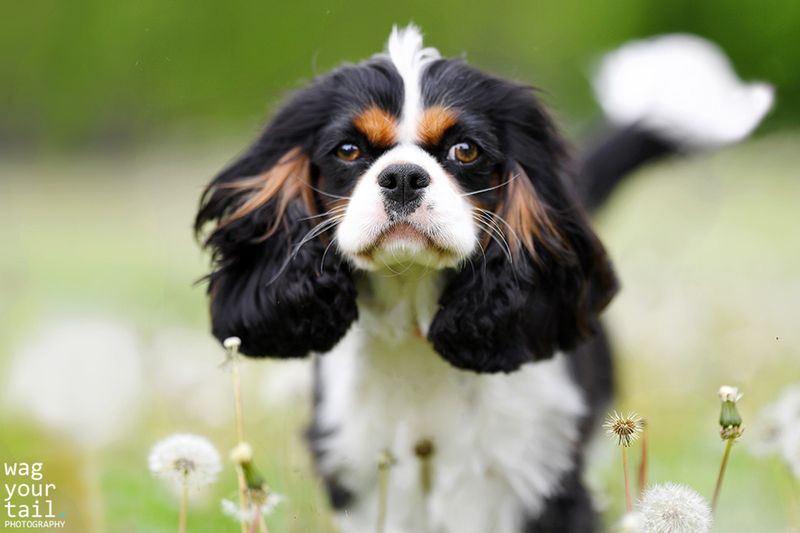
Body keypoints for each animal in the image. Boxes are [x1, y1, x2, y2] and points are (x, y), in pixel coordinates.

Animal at [192, 25, 768, 532]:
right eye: (348, 151)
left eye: (464, 150)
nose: (403, 177)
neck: (416, 330)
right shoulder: (367, 476)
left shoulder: (534, 477)